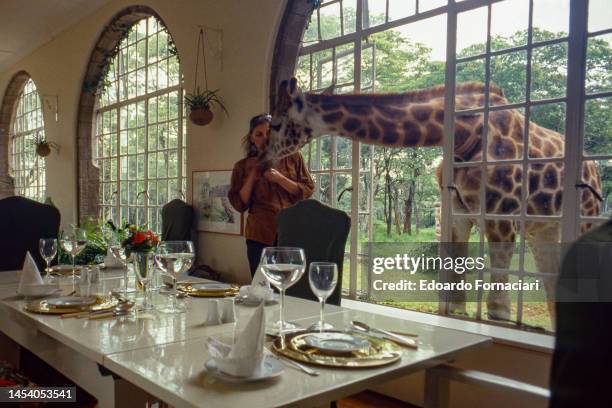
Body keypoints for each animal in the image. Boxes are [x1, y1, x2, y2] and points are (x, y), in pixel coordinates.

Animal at [264, 78, 604, 324]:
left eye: (277, 124)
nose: (260, 154)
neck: (464, 133)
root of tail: (594, 170)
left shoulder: (501, 218)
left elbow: (497, 309)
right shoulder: (458, 216)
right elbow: (457, 299)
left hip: (584, 223)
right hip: (543, 231)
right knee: (552, 290)